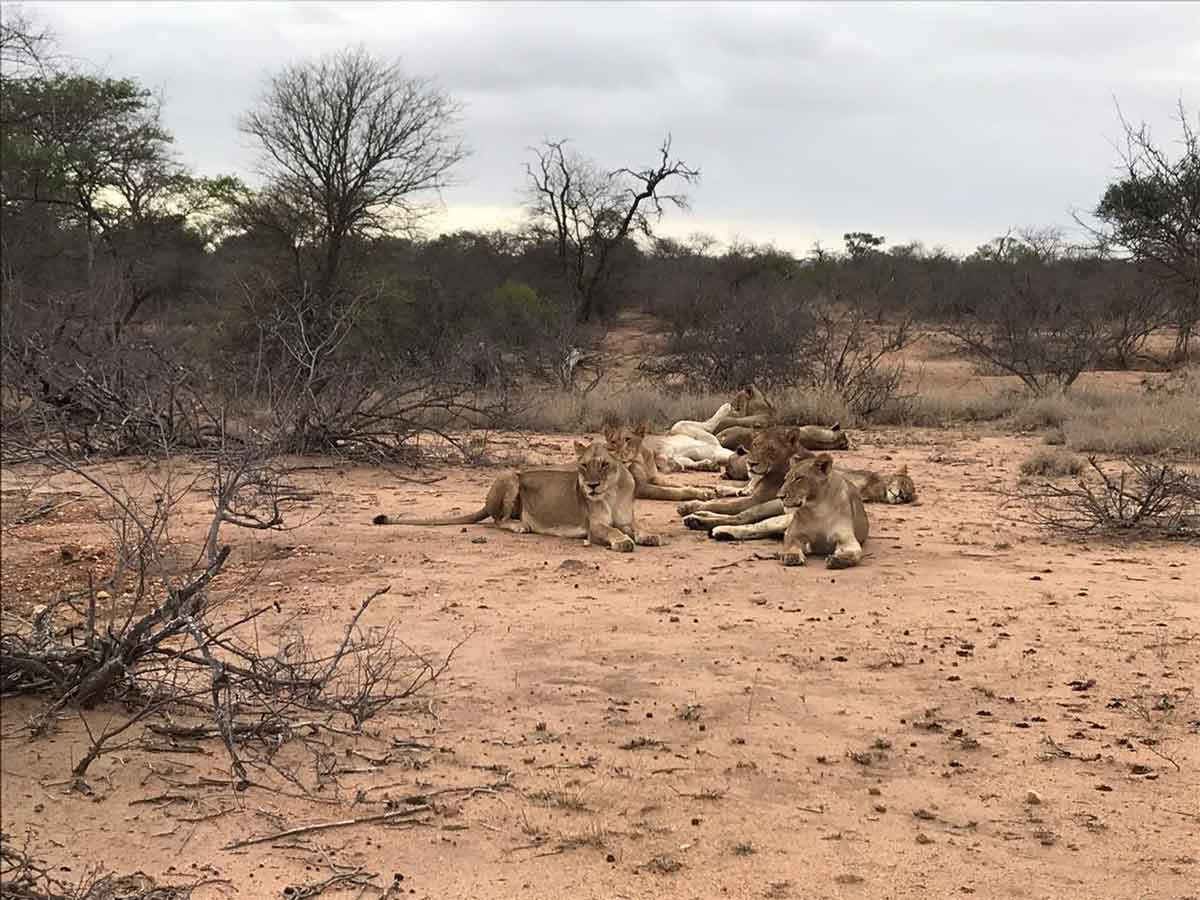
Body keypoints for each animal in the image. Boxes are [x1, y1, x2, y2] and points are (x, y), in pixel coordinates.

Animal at [371, 439, 662, 552]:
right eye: (583, 466)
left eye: (603, 465)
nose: (590, 486)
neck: (611, 492)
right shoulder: (594, 527)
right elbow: (612, 531)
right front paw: (623, 542)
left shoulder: (626, 519)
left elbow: (637, 525)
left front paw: (649, 535)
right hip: (510, 475)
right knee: (497, 521)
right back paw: (520, 526)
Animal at [709, 453, 869, 569]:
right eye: (785, 479)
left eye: (799, 478)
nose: (780, 496)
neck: (817, 509)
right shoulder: (792, 533)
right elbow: (791, 544)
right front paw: (792, 556)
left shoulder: (847, 539)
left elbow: (855, 554)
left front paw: (837, 560)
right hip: (779, 521)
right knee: (748, 524)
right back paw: (714, 526)